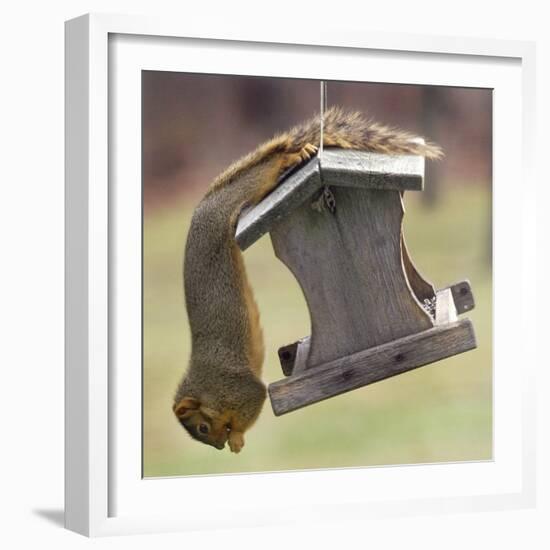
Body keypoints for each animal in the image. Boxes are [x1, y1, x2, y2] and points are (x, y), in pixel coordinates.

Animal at [172, 105, 444, 454]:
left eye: (203, 427)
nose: (217, 447)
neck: (208, 389)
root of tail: (204, 209)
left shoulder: (238, 387)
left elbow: (255, 398)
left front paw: (236, 438)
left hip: (245, 193)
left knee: (268, 168)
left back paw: (293, 156)